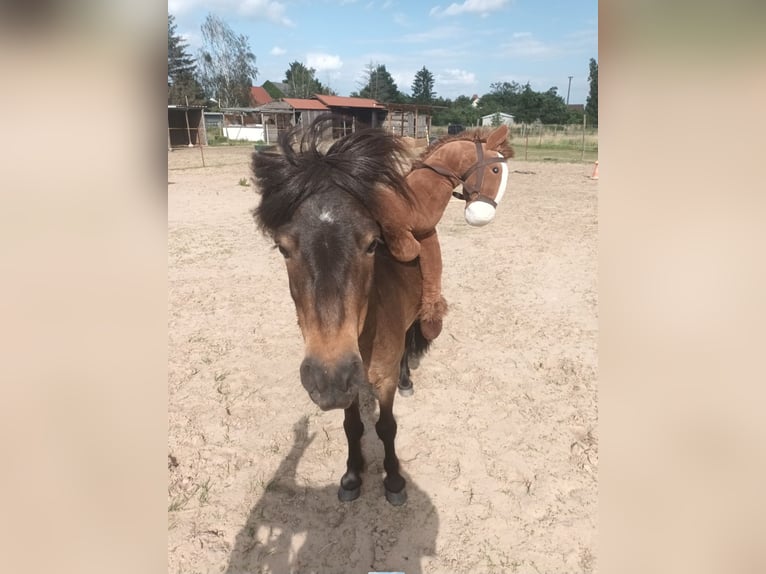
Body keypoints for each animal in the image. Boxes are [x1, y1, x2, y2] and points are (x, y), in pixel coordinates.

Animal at [250, 116, 511, 505]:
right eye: (282, 248)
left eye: (373, 244)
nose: (327, 377)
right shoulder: (351, 383)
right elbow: (352, 426)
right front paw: (351, 476)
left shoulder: (381, 380)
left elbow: (386, 427)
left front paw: (394, 480)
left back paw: (407, 380)